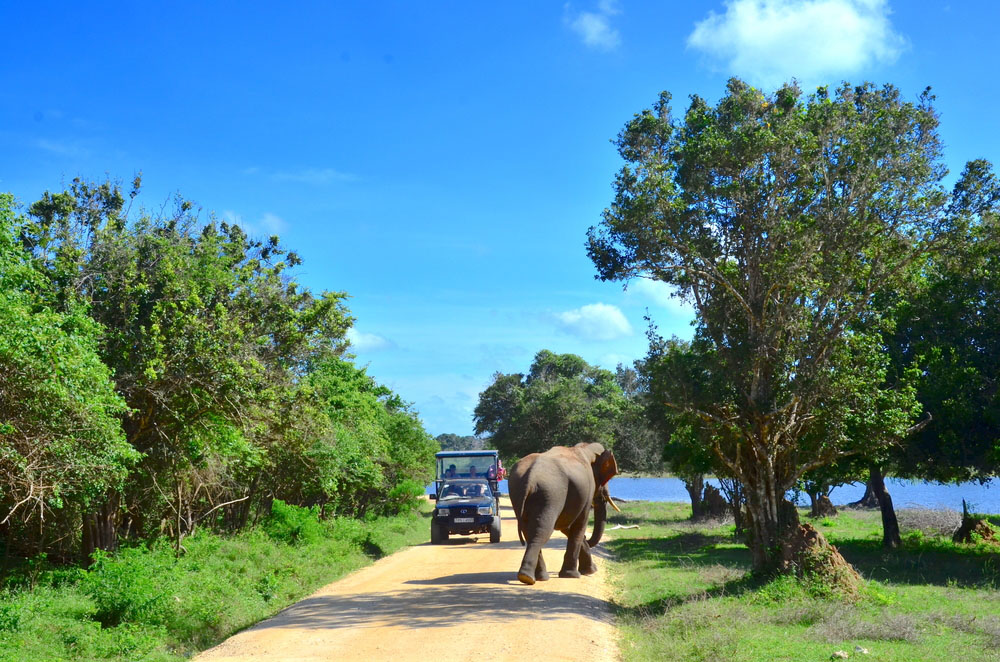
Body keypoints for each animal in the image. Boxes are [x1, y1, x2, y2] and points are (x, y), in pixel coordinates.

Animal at [512, 446, 620, 588]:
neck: (584, 448)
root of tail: (530, 477)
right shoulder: (587, 491)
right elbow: (579, 524)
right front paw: (574, 575)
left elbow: (565, 525)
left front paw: (589, 571)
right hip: (551, 494)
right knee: (542, 531)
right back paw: (529, 578)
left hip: (520, 494)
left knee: (529, 531)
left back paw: (535, 577)